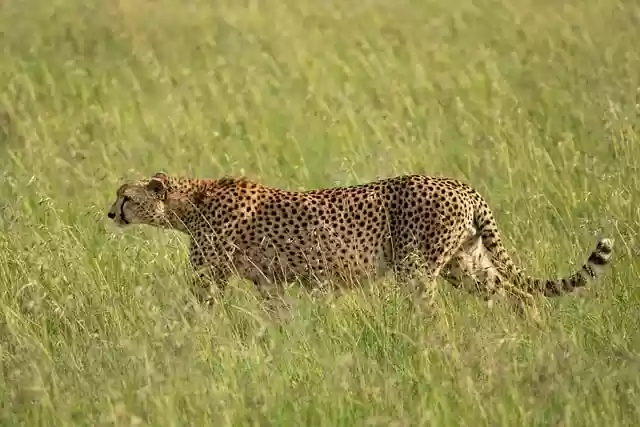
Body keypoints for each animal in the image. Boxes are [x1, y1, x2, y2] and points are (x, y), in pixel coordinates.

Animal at [107, 171, 614, 312]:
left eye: (125, 196)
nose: (110, 213)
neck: (188, 202)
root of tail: (460, 185)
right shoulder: (268, 282)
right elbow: (278, 315)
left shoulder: (210, 277)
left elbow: (195, 311)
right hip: (466, 264)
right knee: (512, 294)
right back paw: (526, 335)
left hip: (417, 268)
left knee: (431, 314)